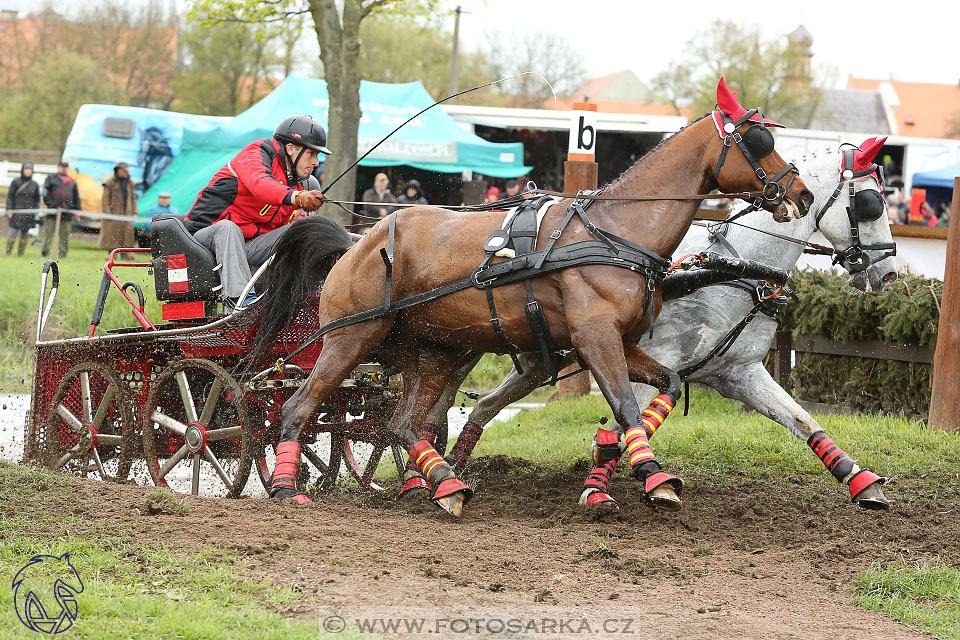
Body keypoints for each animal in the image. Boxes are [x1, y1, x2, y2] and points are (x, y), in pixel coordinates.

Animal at [266, 77, 812, 516]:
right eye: (758, 140)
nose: (801, 194)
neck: (615, 232)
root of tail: (356, 242)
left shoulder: (623, 342)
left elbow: (670, 385)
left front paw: (621, 461)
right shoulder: (595, 339)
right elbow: (625, 405)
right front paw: (653, 476)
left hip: (432, 351)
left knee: (402, 426)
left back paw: (444, 485)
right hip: (350, 338)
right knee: (297, 408)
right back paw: (287, 488)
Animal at [430, 136, 900, 510]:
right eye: (871, 204)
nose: (889, 274)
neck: (728, 269)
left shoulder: (740, 373)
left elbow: (803, 421)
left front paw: (861, 481)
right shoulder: (644, 358)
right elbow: (623, 428)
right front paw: (601, 487)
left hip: (532, 360)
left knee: (483, 406)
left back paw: (450, 464)